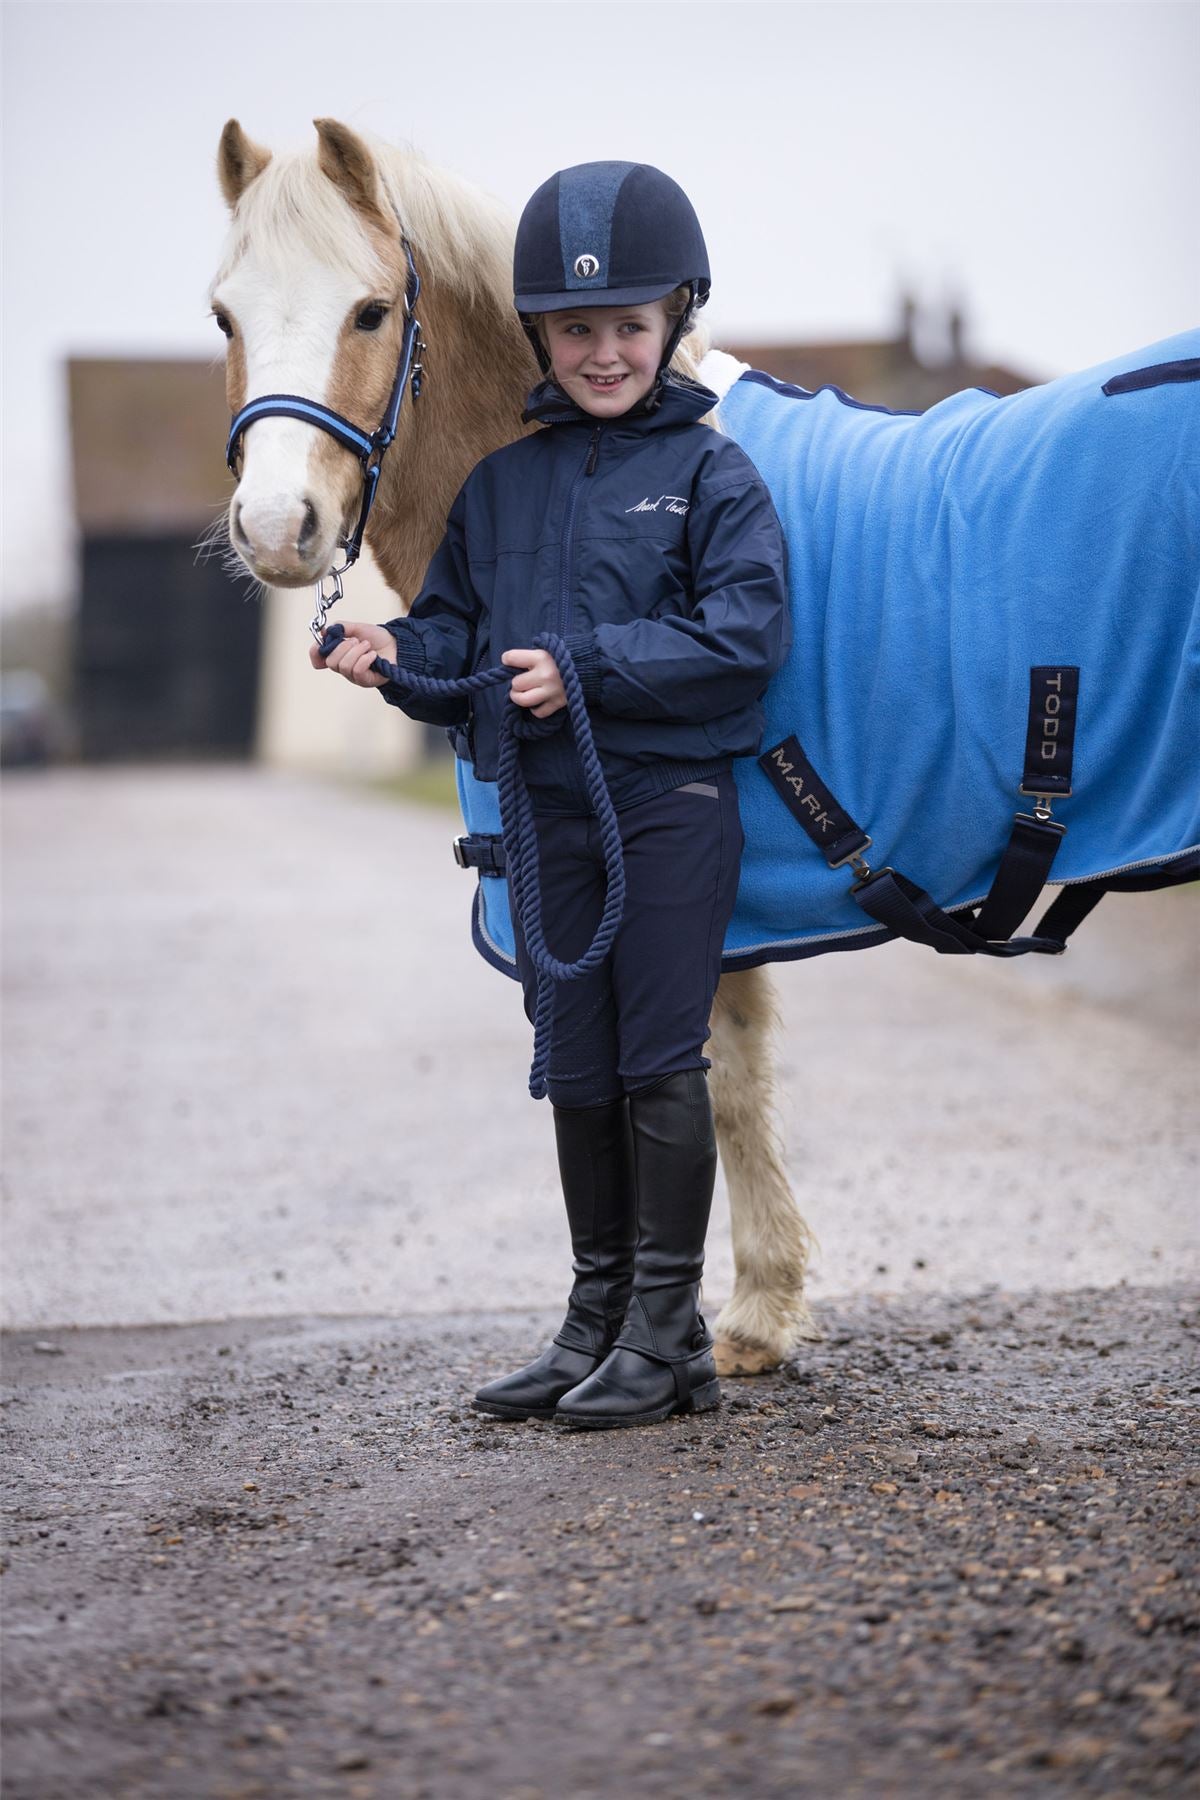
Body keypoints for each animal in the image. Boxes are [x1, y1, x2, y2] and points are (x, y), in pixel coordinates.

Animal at [211, 119, 1194, 1368]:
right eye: (225, 318)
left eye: (372, 312)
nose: (275, 530)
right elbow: (701, 1084)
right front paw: (736, 1315)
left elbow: (704, 1085)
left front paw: (716, 1332)